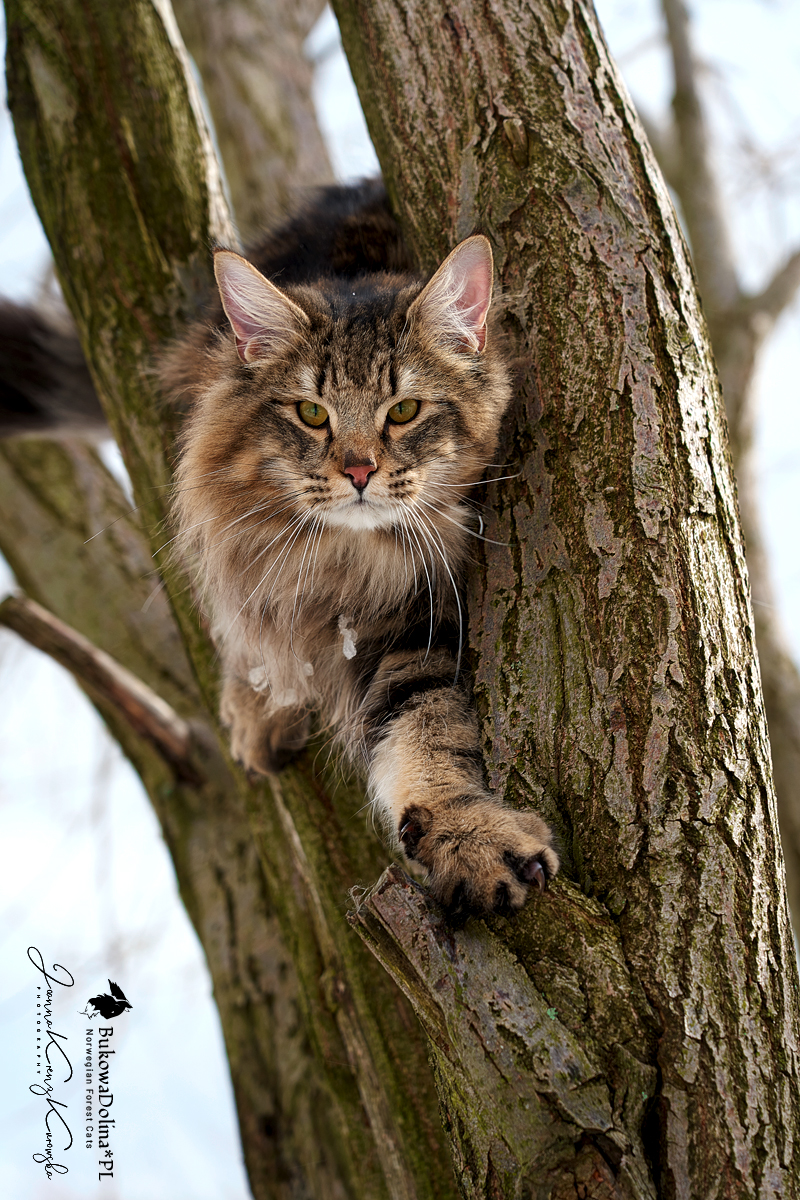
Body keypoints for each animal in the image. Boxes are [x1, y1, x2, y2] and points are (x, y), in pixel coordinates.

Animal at [0, 180, 559, 913]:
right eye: (312, 414)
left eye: (404, 412)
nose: (358, 470)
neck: (343, 564)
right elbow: (256, 620)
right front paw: (261, 698)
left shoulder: (426, 617)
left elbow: (424, 729)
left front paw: (468, 835)